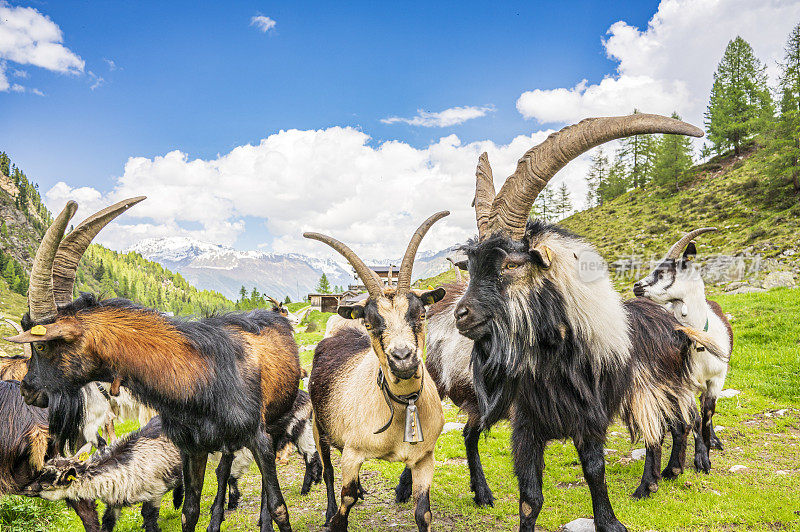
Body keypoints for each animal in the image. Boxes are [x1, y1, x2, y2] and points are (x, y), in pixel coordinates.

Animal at [304, 212, 446, 532]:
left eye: (421, 314)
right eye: (370, 323)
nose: (403, 358)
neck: (404, 405)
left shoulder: (425, 458)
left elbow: (423, 513)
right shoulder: (353, 453)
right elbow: (344, 502)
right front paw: (335, 517)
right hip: (319, 425)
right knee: (329, 472)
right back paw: (329, 508)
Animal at [636, 229, 736, 474]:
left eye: (662, 272)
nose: (636, 287)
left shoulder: (717, 379)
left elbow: (708, 414)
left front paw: (708, 450)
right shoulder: (685, 383)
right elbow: (696, 419)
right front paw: (700, 458)